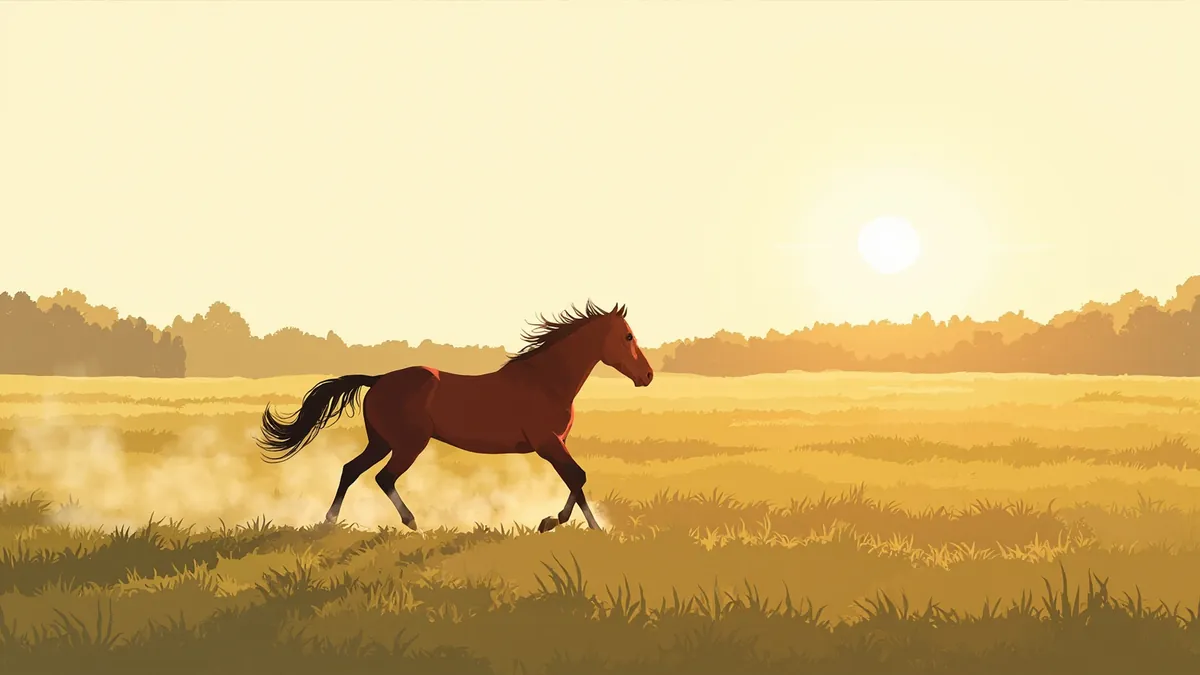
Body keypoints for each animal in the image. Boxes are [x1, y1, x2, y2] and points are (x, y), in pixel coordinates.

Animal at [254, 301, 654, 533]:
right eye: (628, 336)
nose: (648, 376)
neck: (546, 380)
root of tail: (379, 379)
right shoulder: (548, 443)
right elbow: (578, 477)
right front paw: (579, 525)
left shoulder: (556, 444)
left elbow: (575, 480)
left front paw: (552, 522)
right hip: (408, 445)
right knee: (383, 478)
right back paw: (412, 523)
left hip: (381, 442)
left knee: (350, 469)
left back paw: (330, 521)